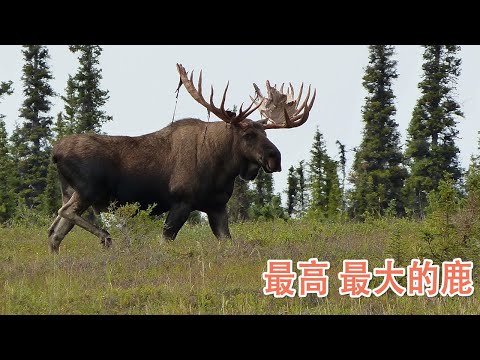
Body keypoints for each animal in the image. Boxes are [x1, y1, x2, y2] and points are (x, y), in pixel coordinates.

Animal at [47, 62, 316, 253]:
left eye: (266, 133)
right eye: (248, 134)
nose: (275, 158)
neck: (222, 169)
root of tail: (55, 153)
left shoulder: (217, 206)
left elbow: (228, 242)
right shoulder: (181, 201)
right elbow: (165, 241)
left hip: (71, 191)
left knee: (54, 232)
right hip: (87, 190)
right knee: (62, 214)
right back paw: (105, 236)